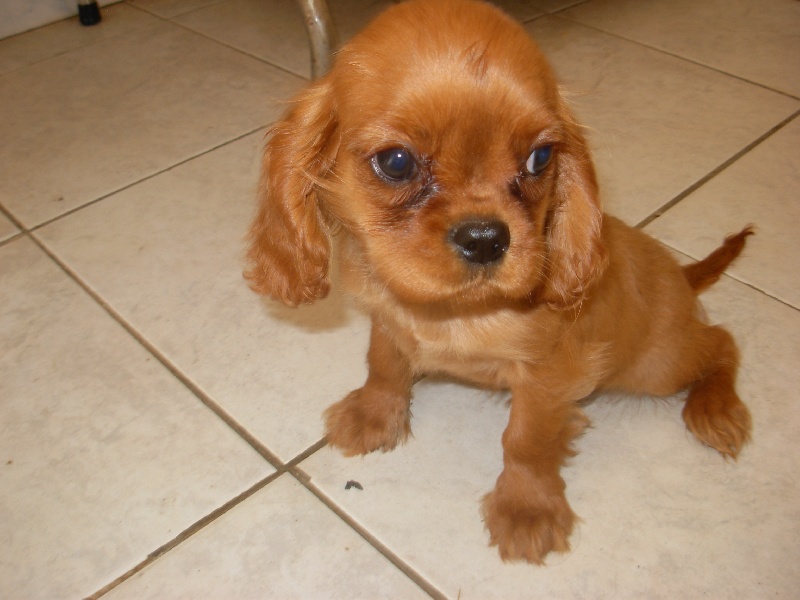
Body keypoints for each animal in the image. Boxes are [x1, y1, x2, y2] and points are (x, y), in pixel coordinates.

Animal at [244, 0, 753, 564]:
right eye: (396, 162)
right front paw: (375, 414)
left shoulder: (548, 376)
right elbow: (384, 363)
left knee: (721, 342)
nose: (486, 238)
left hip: (654, 365)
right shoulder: (387, 318)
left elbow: (526, 442)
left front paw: (527, 509)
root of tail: (682, 276)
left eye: (540, 158)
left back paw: (717, 409)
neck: (455, 312)